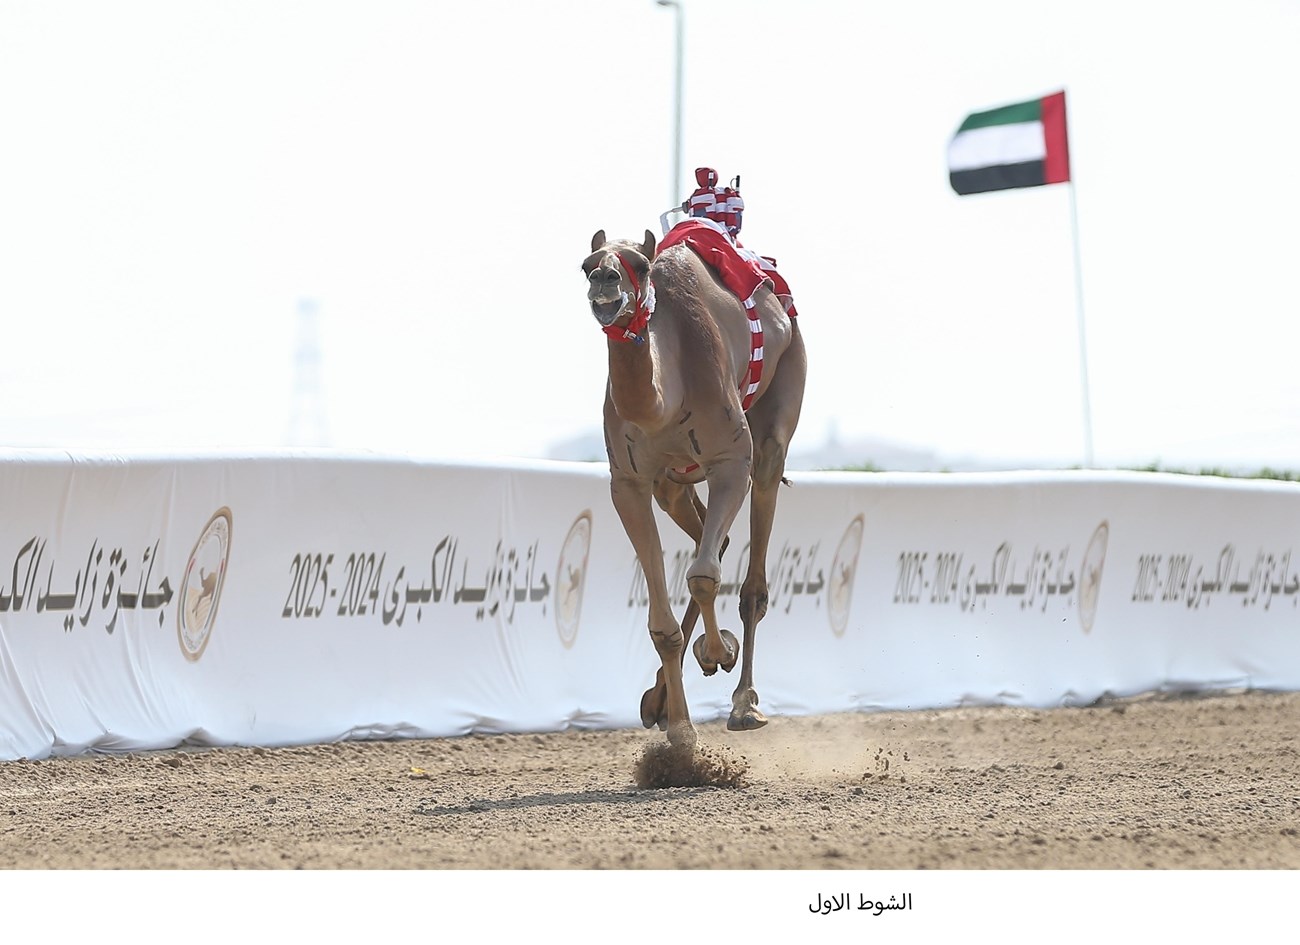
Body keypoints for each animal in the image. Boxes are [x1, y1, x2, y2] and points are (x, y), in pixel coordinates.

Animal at [585, 224, 806, 748]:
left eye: (639, 266)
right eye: (585, 264)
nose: (604, 281)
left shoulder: (730, 463)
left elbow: (703, 576)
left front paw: (718, 651)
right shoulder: (628, 483)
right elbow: (662, 624)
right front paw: (681, 733)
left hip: (777, 414)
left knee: (751, 577)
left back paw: (744, 702)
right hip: (672, 485)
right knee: (716, 539)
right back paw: (659, 701)